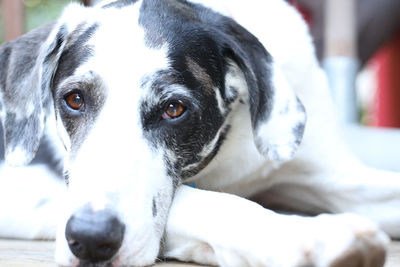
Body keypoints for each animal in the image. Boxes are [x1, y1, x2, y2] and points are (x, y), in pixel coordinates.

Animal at [0, 0, 400, 266]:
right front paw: (310, 235)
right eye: (75, 99)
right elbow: (201, 200)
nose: (91, 237)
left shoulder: (334, 177)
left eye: (174, 108)